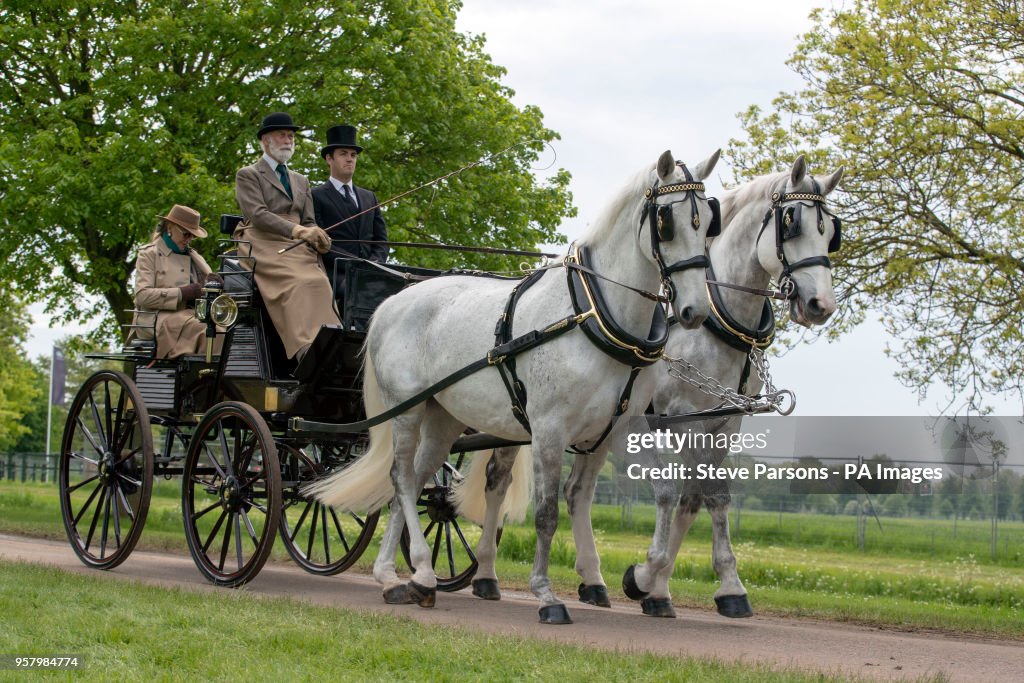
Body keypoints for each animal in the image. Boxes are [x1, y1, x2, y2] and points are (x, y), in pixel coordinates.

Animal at [309, 149, 720, 626]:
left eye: (708, 222)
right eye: (666, 221)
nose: (694, 310)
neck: (593, 312)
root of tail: (393, 301)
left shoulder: (621, 427)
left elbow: (667, 494)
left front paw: (643, 577)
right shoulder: (548, 430)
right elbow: (545, 515)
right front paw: (546, 595)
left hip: (442, 418)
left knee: (412, 481)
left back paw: (401, 577)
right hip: (406, 410)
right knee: (400, 477)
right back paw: (417, 573)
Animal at [454, 158, 839, 614]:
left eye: (831, 232)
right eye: (791, 223)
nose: (820, 305)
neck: (715, 321)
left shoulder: (724, 425)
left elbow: (701, 499)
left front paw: (668, 587)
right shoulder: (676, 420)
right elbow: (701, 495)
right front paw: (660, 581)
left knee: (576, 491)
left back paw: (593, 581)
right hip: (519, 422)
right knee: (497, 481)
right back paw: (486, 574)